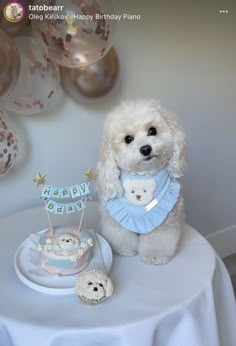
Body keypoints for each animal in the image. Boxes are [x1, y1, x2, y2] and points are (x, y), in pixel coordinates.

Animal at [97, 100, 187, 264]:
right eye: (128, 139)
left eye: (152, 131)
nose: (145, 149)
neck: (143, 176)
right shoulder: (115, 221)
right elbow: (120, 234)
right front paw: (124, 250)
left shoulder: (165, 221)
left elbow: (157, 239)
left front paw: (154, 255)